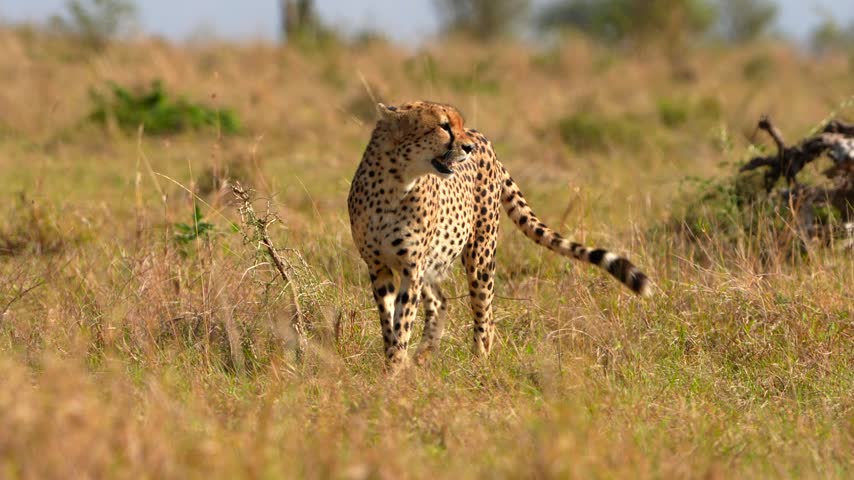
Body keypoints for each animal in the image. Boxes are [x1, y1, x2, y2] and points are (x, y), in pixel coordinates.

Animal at [347, 100, 651, 370]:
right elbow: (388, 321)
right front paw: (393, 364)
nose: (467, 147)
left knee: (485, 316)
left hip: (480, 255)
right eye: (444, 126)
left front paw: (395, 370)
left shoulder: (412, 267)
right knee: (440, 302)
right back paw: (424, 356)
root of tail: (484, 139)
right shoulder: (379, 267)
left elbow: (402, 322)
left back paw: (478, 363)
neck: (396, 182)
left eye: (457, 124)